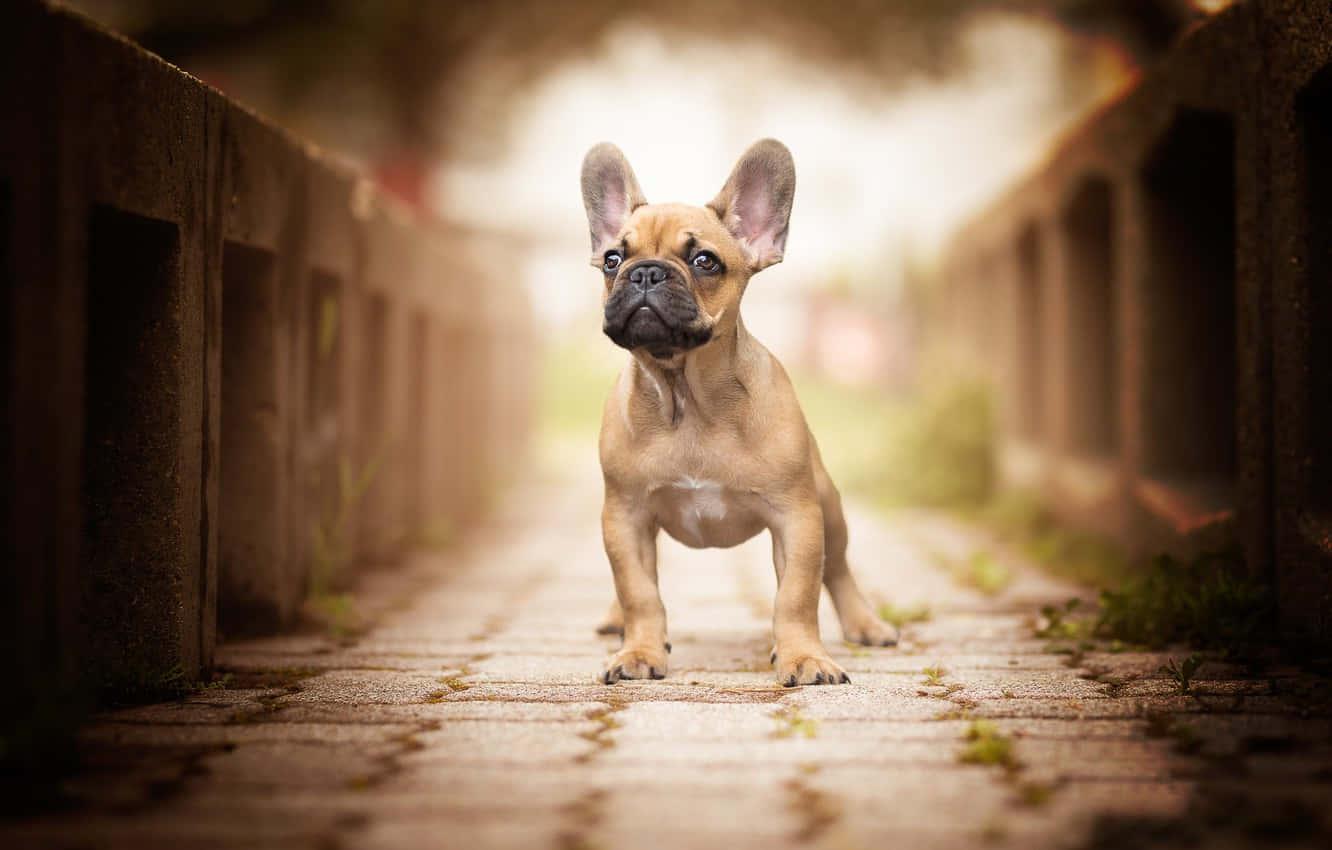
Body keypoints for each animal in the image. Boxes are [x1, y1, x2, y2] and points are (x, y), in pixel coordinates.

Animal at [580, 138, 895, 687]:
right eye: (612, 259)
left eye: (705, 260)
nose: (645, 272)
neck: (686, 395)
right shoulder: (624, 517)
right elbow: (639, 590)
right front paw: (639, 650)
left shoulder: (797, 518)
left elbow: (796, 595)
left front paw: (803, 657)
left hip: (830, 508)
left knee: (838, 570)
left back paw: (866, 625)